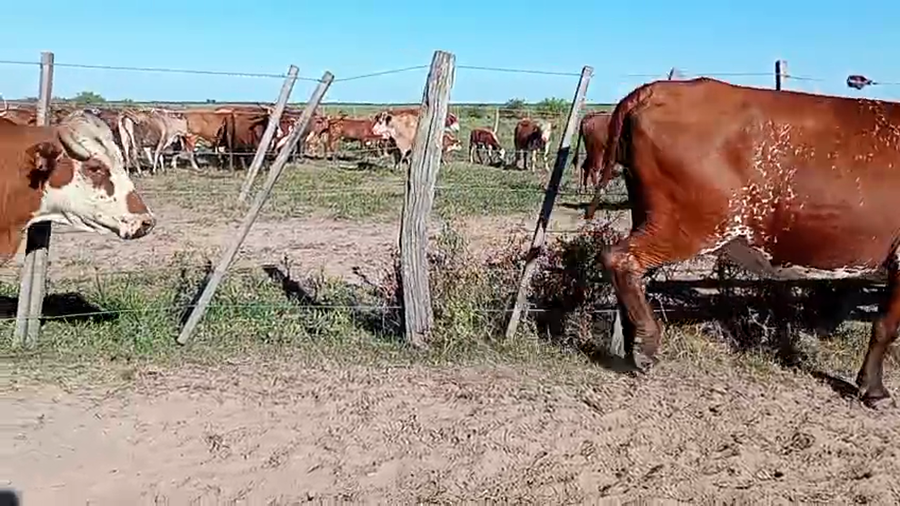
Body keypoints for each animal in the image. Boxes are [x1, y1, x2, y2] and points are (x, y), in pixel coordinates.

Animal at [584, 77, 900, 408]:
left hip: (649, 215)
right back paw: (646, 344)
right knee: (620, 259)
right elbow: (885, 326)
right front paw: (874, 389)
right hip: (689, 225)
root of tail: (657, 89)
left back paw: (631, 342)